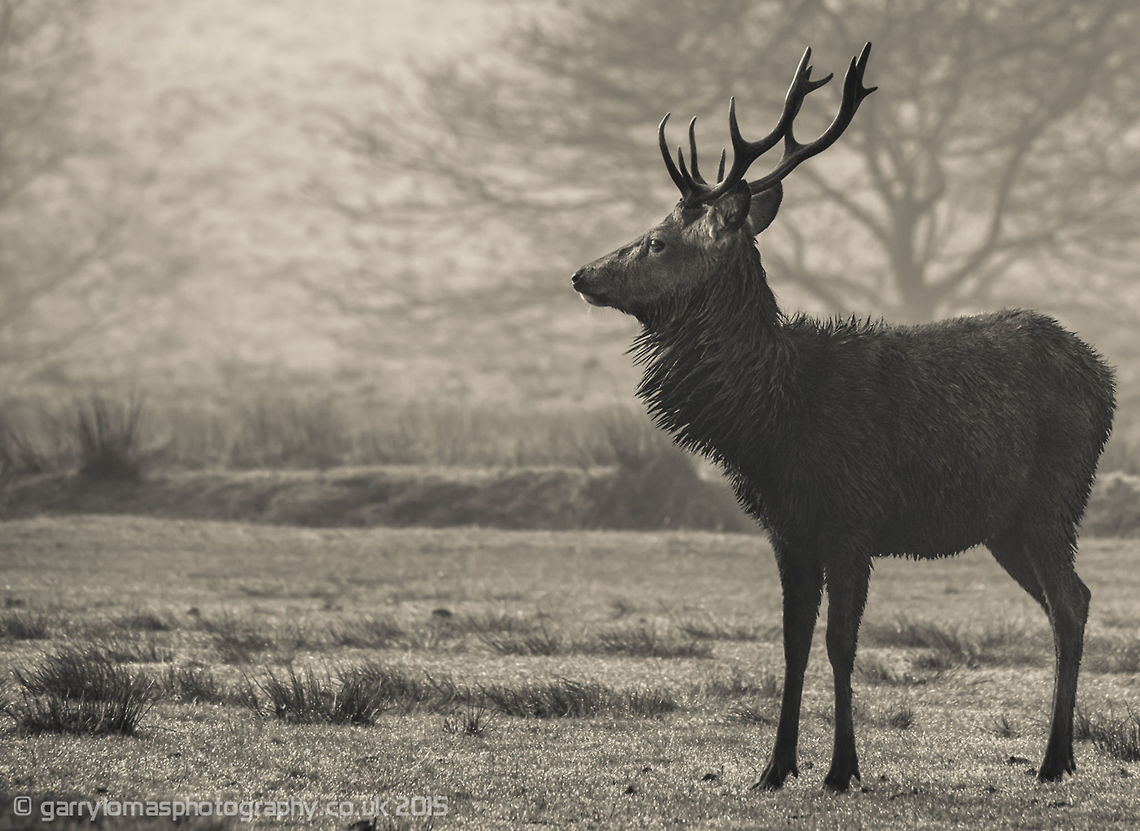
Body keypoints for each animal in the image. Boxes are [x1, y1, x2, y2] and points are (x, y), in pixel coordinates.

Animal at [571, 43, 1116, 791]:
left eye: (656, 241)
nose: (581, 274)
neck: (774, 419)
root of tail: (1107, 380)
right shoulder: (788, 528)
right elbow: (793, 642)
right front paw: (774, 768)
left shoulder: (853, 517)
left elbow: (840, 642)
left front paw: (841, 769)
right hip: (1006, 524)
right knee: (1074, 599)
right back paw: (1057, 754)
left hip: (1054, 497)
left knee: (1070, 602)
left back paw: (1054, 758)